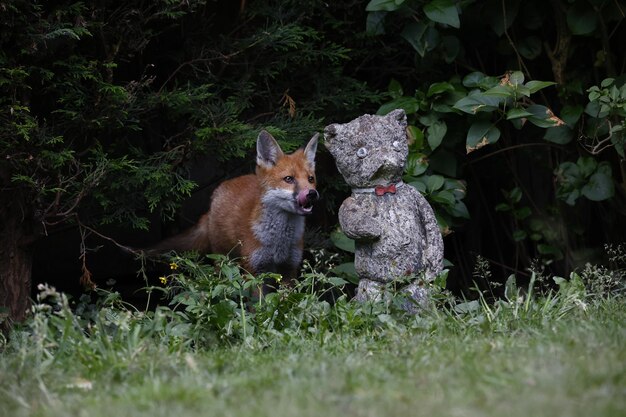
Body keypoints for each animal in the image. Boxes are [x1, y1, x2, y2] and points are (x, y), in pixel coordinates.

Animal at [149, 130, 316, 282]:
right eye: (288, 179)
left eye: (311, 179)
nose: (312, 193)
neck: (279, 243)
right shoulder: (254, 269)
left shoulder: (289, 269)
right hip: (224, 262)